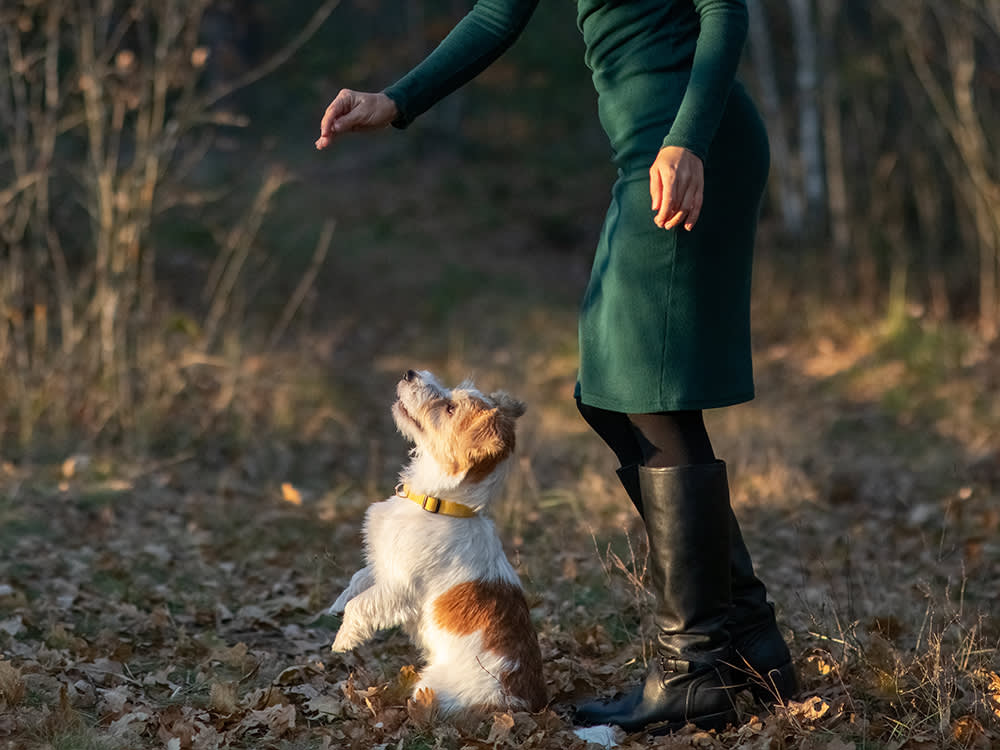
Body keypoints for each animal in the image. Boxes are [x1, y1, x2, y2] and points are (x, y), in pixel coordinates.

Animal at [328, 370, 548, 716]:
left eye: (449, 409)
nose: (411, 372)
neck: (438, 504)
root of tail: (525, 702)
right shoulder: (386, 563)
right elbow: (359, 578)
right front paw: (338, 603)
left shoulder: (399, 586)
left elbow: (361, 604)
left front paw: (343, 639)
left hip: (430, 686)